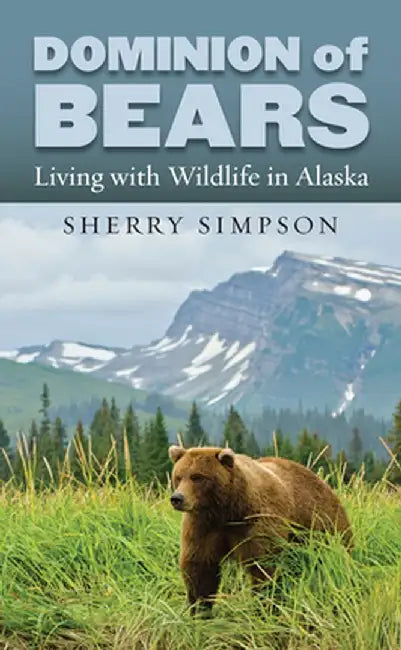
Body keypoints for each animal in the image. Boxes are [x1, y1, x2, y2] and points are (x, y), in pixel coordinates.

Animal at [169, 445, 352, 613]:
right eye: (178, 476)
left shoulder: (258, 523)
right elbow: (200, 566)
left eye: (197, 477)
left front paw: (264, 606)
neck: (229, 511)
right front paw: (199, 609)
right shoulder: (203, 525)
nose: (177, 498)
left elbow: (263, 566)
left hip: (322, 524)